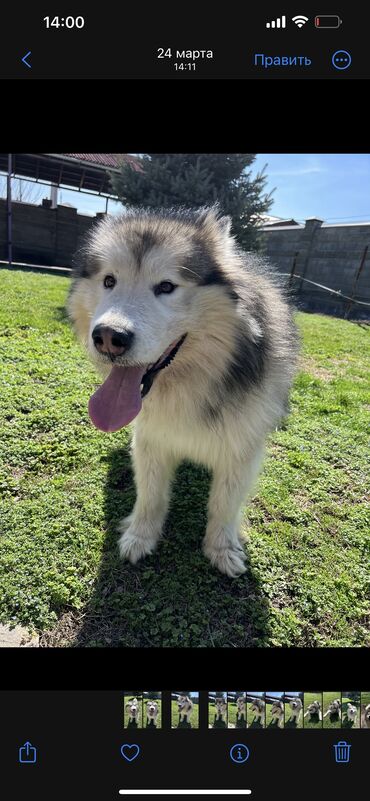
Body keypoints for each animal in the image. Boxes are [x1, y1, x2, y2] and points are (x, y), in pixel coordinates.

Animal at [69, 206, 300, 576]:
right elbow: (150, 494)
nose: (108, 337)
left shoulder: (241, 450)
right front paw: (139, 536)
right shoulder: (150, 439)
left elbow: (224, 504)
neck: (188, 386)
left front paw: (221, 549)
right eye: (109, 281)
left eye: (166, 286)